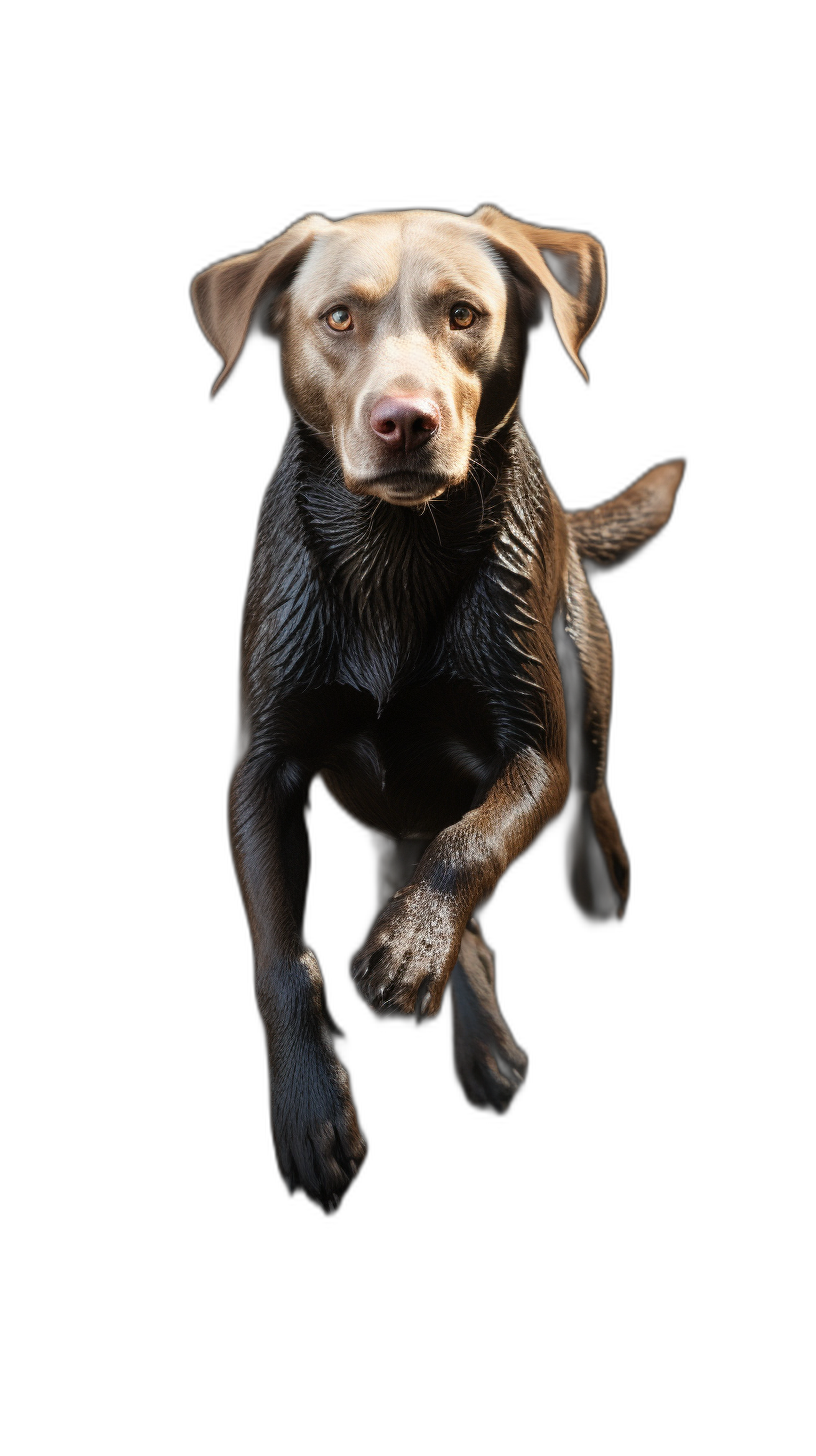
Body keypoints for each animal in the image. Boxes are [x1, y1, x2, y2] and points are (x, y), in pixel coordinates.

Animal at [190, 202, 681, 1205]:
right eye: (338, 317)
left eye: (465, 315)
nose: (404, 421)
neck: (394, 552)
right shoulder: (264, 771)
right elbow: (282, 958)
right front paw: (311, 1115)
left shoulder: (530, 749)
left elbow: (472, 845)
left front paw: (411, 948)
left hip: (582, 651)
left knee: (591, 773)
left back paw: (592, 880)